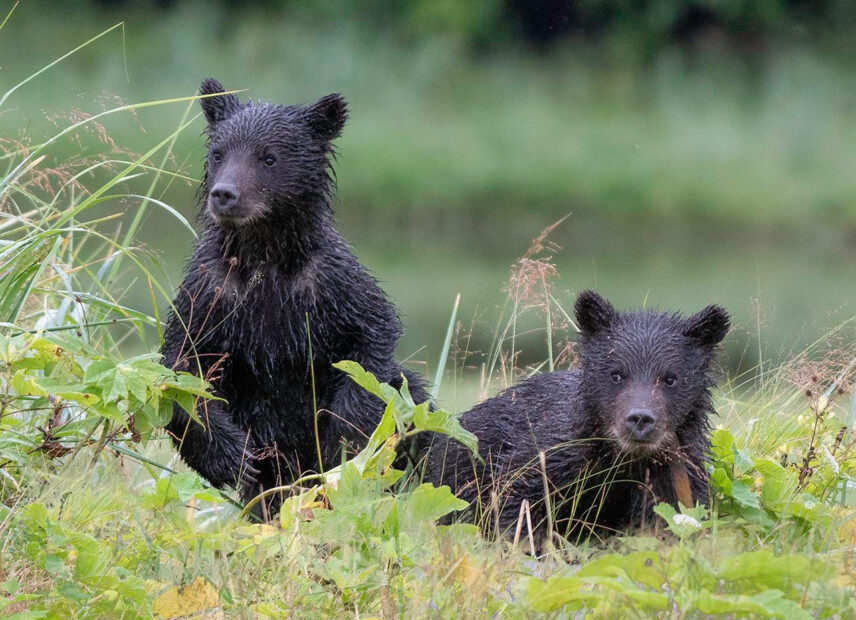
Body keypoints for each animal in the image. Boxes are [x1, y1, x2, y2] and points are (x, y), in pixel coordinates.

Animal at [162, 78, 428, 517]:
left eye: (269, 157)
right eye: (219, 153)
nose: (224, 194)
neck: (265, 259)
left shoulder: (329, 287)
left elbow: (370, 348)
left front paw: (343, 439)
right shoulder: (211, 295)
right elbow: (183, 368)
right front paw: (234, 457)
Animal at [427, 290, 730, 543]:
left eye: (670, 378)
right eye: (617, 374)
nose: (640, 419)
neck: (623, 459)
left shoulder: (676, 477)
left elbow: (671, 518)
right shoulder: (549, 458)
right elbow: (517, 503)